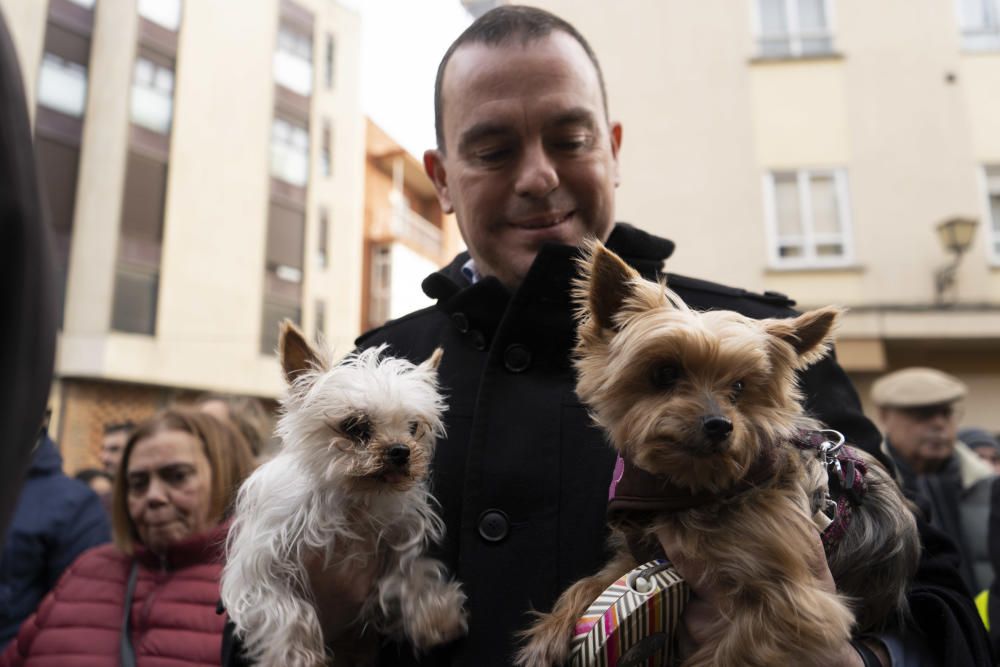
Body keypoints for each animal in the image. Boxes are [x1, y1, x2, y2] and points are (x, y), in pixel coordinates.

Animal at [223, 322, 468, 664]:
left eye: (414, 427)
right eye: (354, 426)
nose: (400, 450)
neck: (354, 501)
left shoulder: (394, 550)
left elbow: (412, 577)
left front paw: (434, 617)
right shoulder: (261, 575)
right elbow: (292, 614)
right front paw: (298, 658)